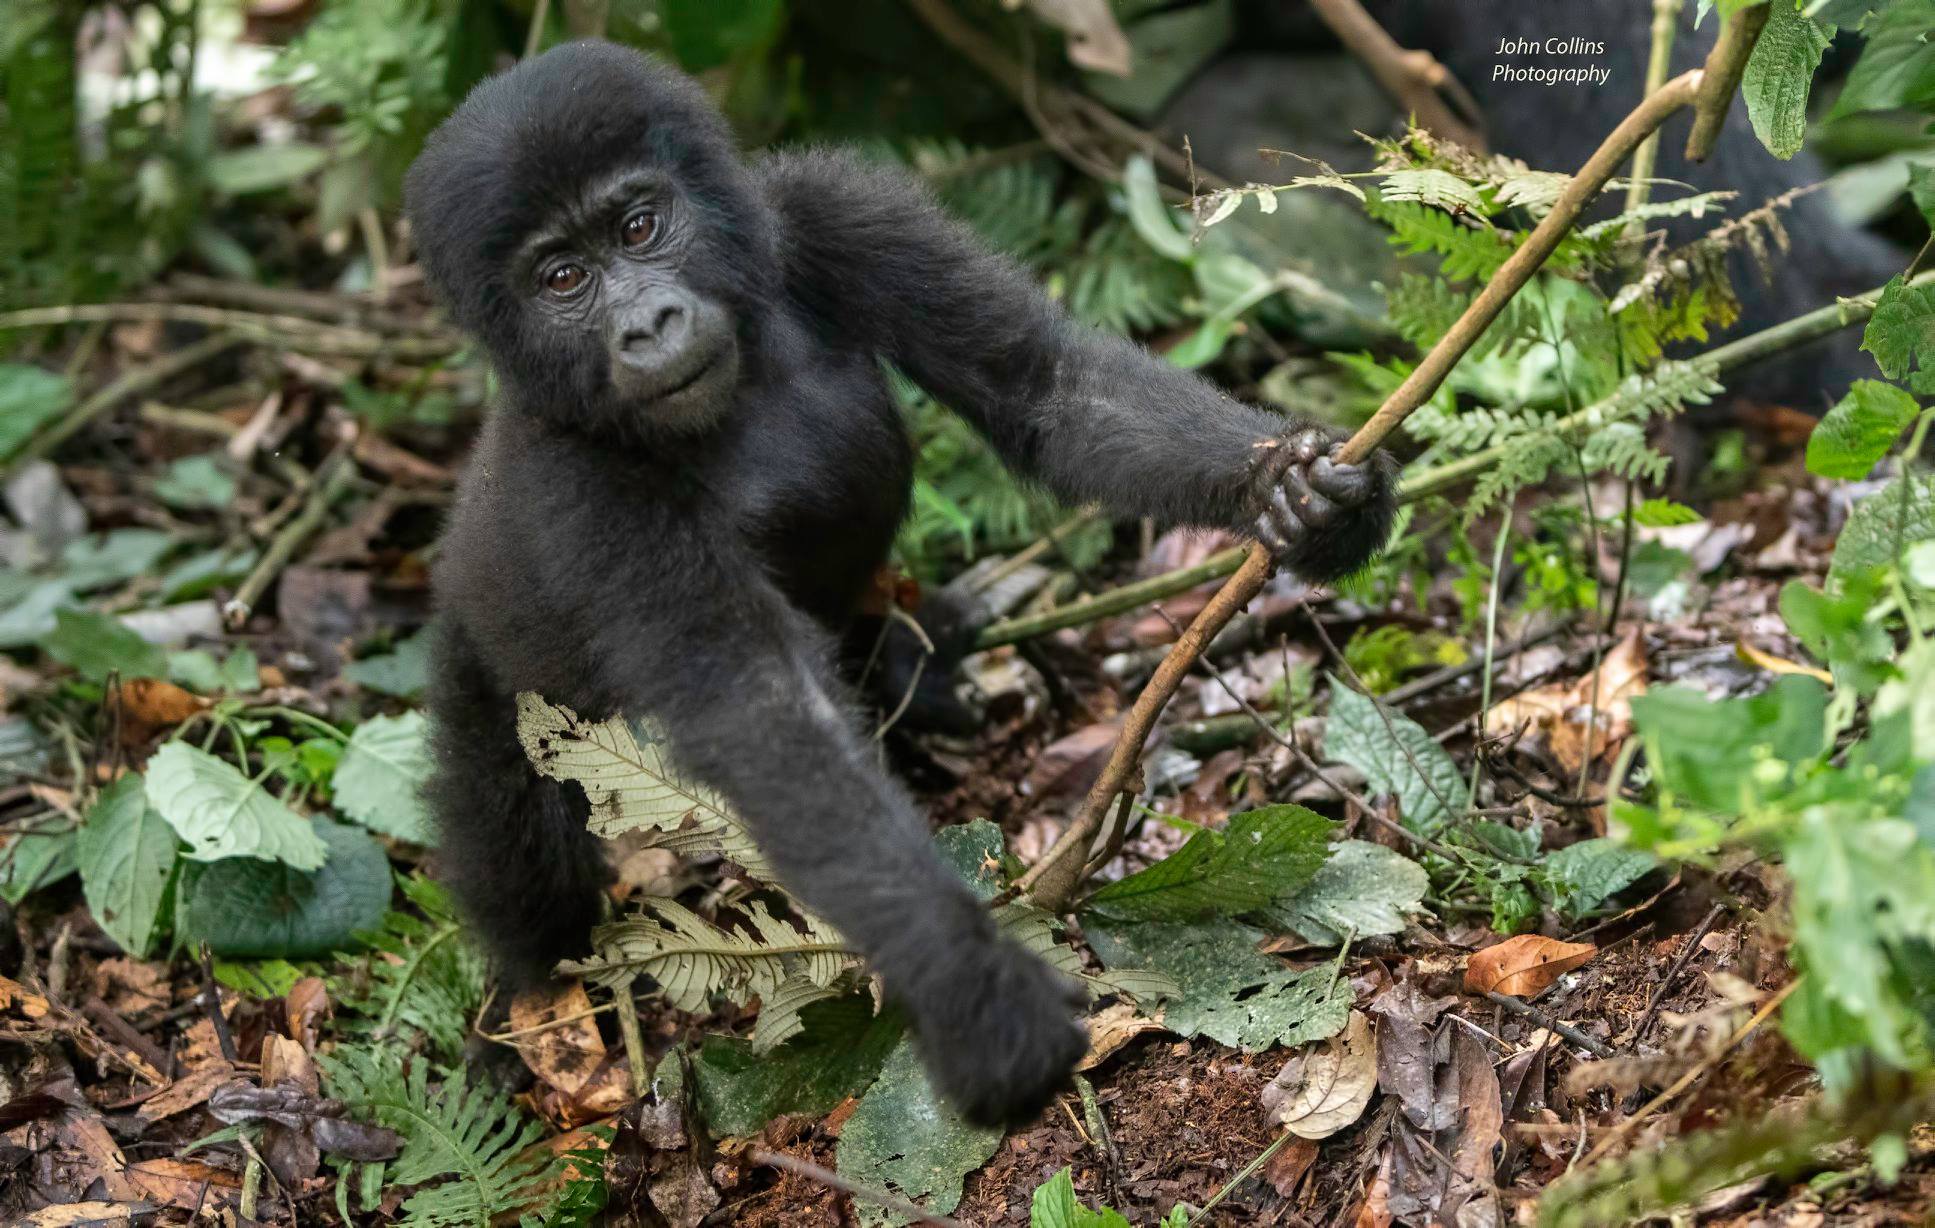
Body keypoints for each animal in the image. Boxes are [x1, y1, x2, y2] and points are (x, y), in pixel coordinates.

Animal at [404, 43, 1393, 1129]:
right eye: (562, 279)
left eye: (637, 225)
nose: (648, 325)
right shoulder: (581, 491)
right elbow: (767, 716)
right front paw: (970, 983)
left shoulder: (832, 210)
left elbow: (1046, 387)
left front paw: (1294, 493)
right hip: (483, 668)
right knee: (515, 835)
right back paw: (526, 1009)